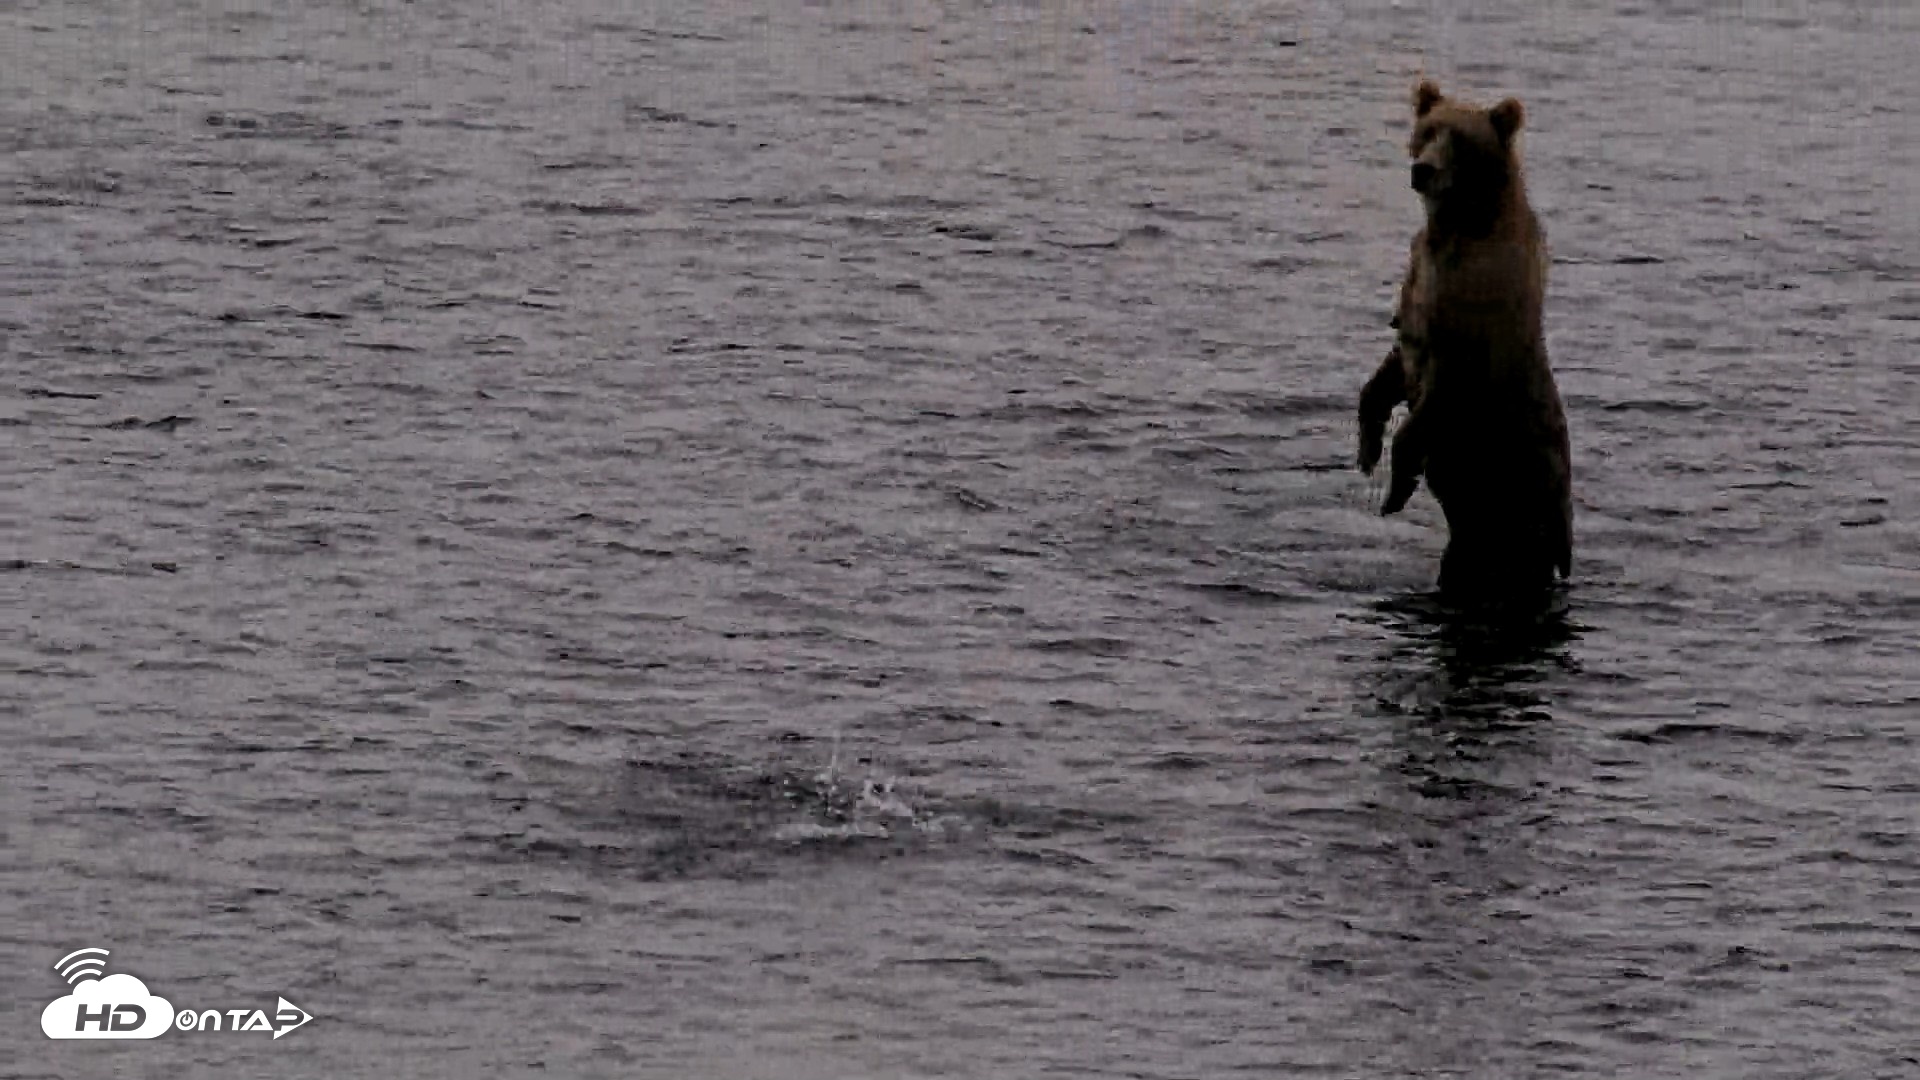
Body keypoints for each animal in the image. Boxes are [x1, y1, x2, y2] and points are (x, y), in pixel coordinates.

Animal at [1357, 79, 1572, 597]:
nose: (1423, 169)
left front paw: (1395, 487)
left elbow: (1436, 399)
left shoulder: (1473, 315)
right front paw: (1367, 449)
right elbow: (1388, 372)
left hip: (1523, 498)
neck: (1456, 231)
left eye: (1462, 139)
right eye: (1428, 130)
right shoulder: (1418, 292)